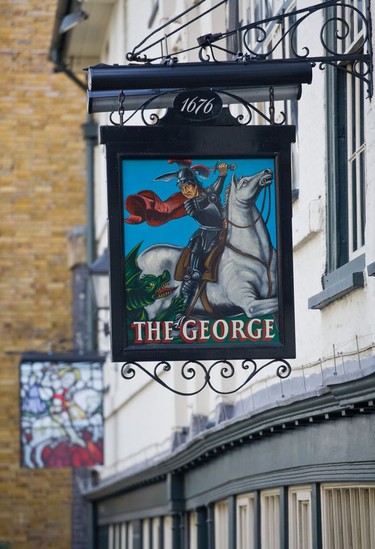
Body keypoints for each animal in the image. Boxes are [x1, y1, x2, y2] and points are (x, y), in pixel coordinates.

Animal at [139, 169, 280, 318]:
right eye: (244, 182)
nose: (267, 171)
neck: (261, 258)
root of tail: (142, 258)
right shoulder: (249, 304)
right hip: (152, 310)